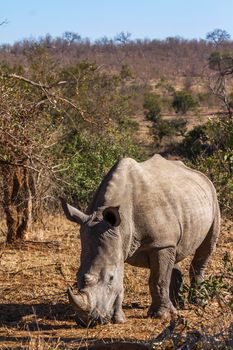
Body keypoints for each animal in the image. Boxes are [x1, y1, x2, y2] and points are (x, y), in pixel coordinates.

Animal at [61, 155, 220, 326]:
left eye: (110, 277)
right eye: (77, 275)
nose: (87, 321)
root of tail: (198, 174)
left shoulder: (160, 244)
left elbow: (158, 279)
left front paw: (161, 315)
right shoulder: (120, 243)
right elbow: (123, 283)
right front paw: (119, 319)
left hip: (213, 196)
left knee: (206, 247)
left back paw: (198, 303)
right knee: (174, 254)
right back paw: (178, 304)